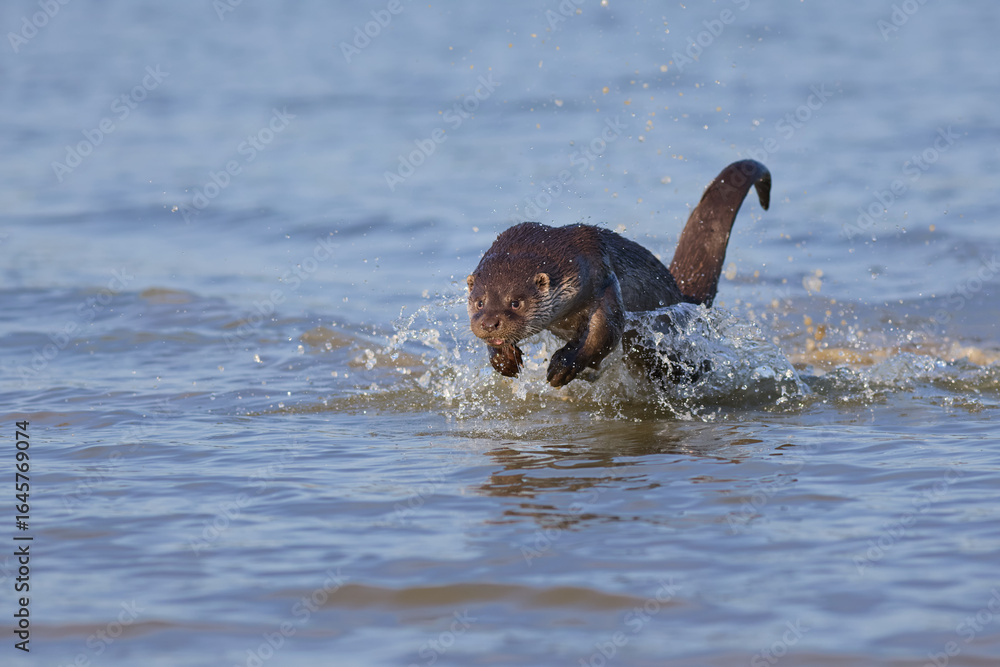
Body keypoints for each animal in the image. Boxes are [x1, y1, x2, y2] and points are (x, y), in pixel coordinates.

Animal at [467, 159, 771, 387]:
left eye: (516, 302)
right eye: (479, 303)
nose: (489, 323)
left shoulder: (601, 275)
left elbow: (605, 334)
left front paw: (564, 366)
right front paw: (503, 359)